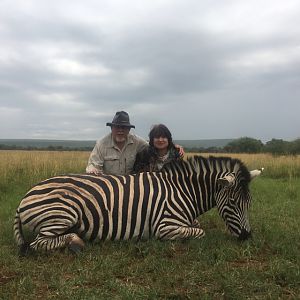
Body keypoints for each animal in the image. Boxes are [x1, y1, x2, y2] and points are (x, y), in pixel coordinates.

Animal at [14, 155, 262, 255]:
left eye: (249, 202)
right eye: (233, 202)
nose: (247, 236)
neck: (183, 191)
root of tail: (25, 196)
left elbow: (196, 224)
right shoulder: (165, 226)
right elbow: (199, 232)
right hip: (64, 212)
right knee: (38, 243)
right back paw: (76, 242)